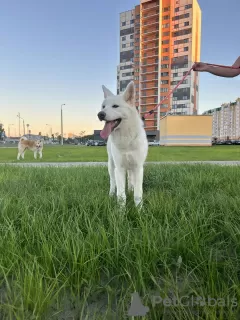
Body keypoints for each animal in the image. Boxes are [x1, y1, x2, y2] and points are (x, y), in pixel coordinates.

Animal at [98, 80, 148, 208]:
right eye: (103, 106)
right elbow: (121, 195)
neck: (126, 137)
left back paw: (130, 189)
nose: (100, 114)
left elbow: (138, 194)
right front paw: (121, 211)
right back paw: (111, 194)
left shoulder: (138, 168)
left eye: (115, 106)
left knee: (130, 179)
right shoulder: (119, 168)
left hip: (130, 167)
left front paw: (139, 210)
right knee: (112, 182)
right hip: (111, 165)